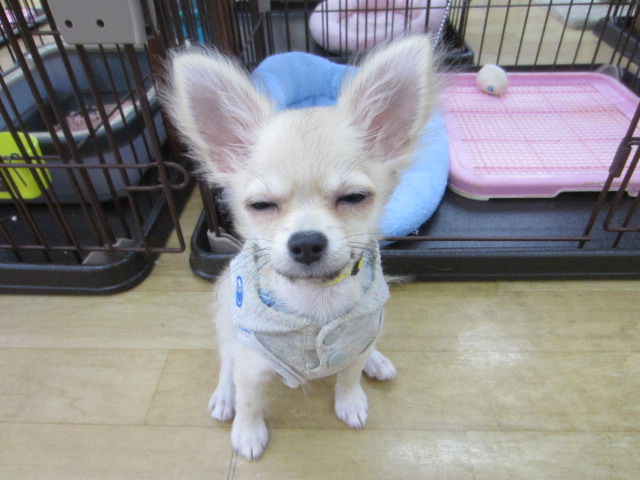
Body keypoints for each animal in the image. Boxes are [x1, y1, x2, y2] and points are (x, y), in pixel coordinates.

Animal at [164, 36, 437, 459]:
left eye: (354, 198)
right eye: (261, 206)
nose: (307, 242)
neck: (316, 301)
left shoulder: (355, 338)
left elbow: (349, 374)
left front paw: (350, 400)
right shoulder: (250, 361)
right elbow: (250, 398)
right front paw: (247, 432)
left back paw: (376, 360)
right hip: (227, 321)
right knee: (226, 360)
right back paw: (224, 396)